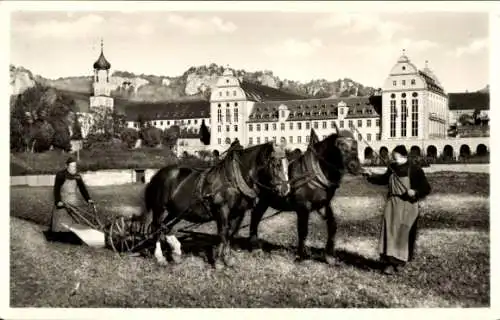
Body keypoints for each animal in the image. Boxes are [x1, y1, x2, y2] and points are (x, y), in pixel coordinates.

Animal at [142, 143, 290, 268]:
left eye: (287, 164)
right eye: (276, 164)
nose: (286, 189)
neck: (234, 180)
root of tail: (157, 174)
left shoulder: (238, 213)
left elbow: (230, 233)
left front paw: (227, 258)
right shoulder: (222, 209)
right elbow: (223, 232)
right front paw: (219, 262)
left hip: (177, 211)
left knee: (166, 227)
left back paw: (176, 252)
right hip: (159, 208)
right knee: (156, 227)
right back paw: (160, 257)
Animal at [246, 127, 364, 264]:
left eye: (355, 144)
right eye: (340, 145)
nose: (355, 166)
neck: (315, 172)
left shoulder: (325, 203)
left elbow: (332, 225)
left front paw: (329, 255)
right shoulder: (303, 206)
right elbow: (303, 230)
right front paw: (301, 256)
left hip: (264, 200)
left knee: (255, 216)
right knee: (255, 217)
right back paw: (254, 246)